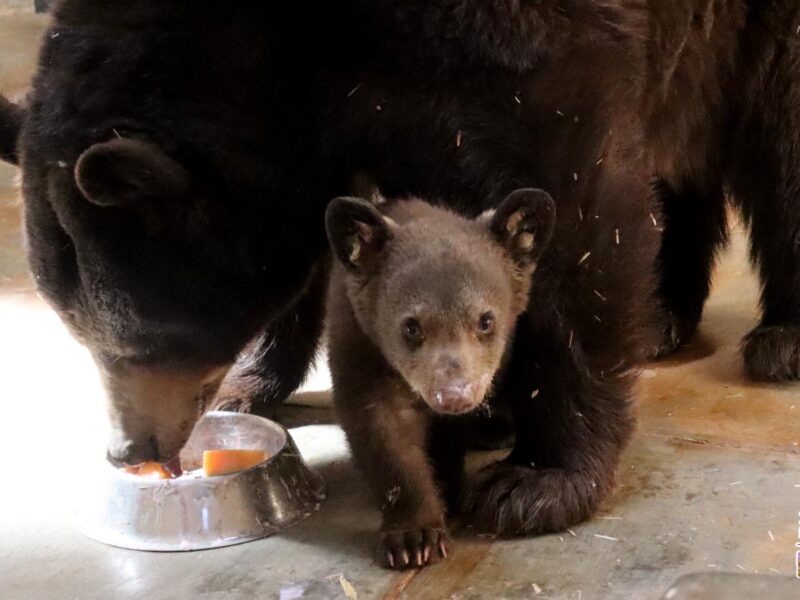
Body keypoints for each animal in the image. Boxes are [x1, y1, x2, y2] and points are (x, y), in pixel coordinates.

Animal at [1, 0, 800, 536]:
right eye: (81, 333)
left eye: (130, 340)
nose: (130, 449)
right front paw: (250, 381)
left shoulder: (527, 39)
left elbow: (574, 210)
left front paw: (535, 480)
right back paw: (664, 314)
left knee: (777, 133)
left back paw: (781, 338)